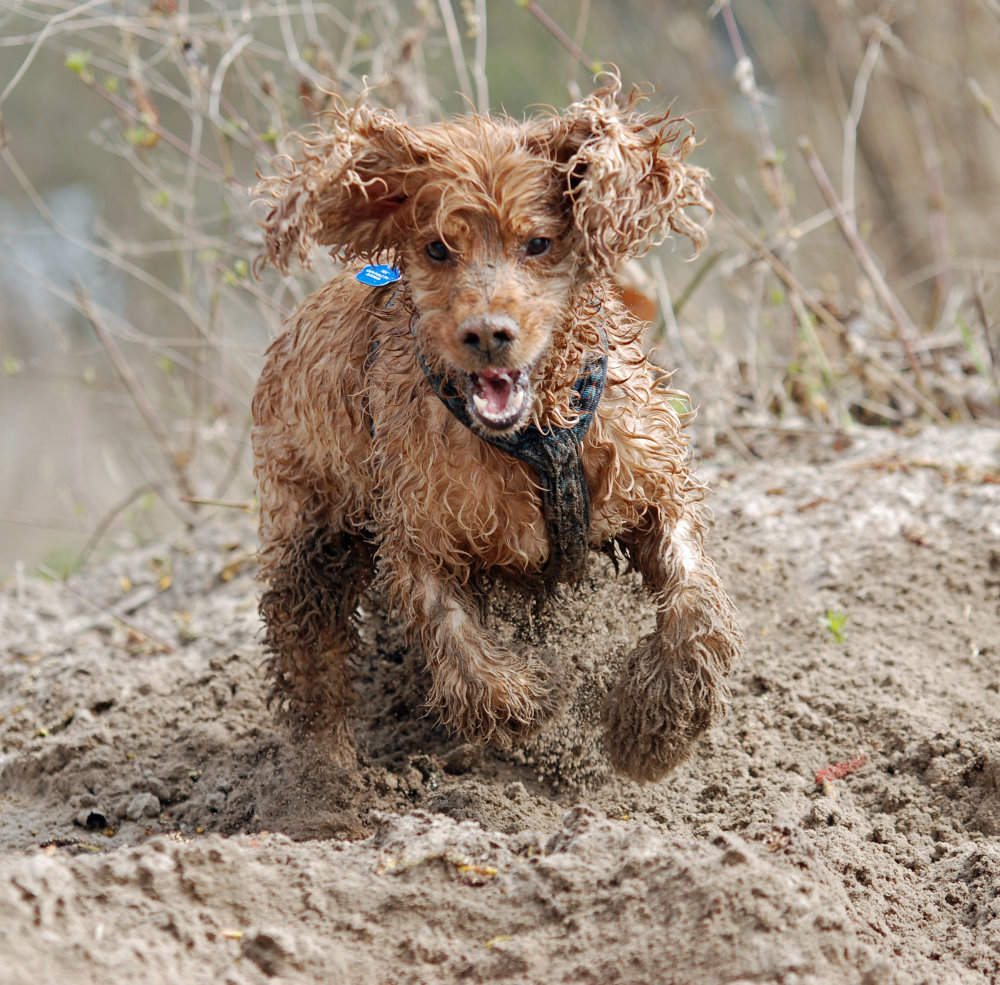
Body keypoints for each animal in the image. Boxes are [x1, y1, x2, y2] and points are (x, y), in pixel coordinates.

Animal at [250, 75, 744, 784]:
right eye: (437, 248)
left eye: (536, 243)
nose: (487, 333)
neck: (536, 436)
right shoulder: (419, 536)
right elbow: (456, 645)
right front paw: (532, 705)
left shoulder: (651, 486)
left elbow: (695, 606)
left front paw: (654, 727)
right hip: (313, 536)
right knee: (307, 652)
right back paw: (329, 781)